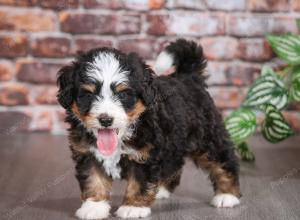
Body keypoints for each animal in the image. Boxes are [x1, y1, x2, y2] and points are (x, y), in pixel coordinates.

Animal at [56, 38, 241, 219]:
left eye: (122, 94)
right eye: (89, 95)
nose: (106, 120)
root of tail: (189, 76)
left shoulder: (146, 154)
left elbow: (139, 181)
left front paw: (133, 207)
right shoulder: (88, 154)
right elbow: (93, 180)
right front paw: (94, 207)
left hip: (207, 137)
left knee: (223, 161)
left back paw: (227, 195)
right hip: (174, 141)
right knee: (174, 164)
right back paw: (161, 189)